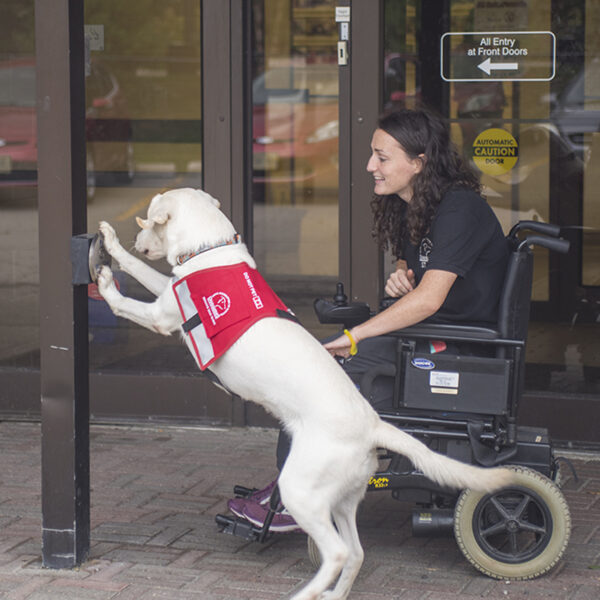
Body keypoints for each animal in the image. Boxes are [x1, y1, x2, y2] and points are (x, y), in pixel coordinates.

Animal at [98, 188, 516, 600]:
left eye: (150, 219)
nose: (137, 239)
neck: (208, 251)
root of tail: (374, 424)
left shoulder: (161, 316)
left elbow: (125, 303)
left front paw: (104, 283)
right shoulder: (168, 290)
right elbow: (143, 272)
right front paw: (112, 245)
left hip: (300, 489)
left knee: (338, 553)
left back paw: (306, 593)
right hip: (342, 499)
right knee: (356, 552)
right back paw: (332, 594)